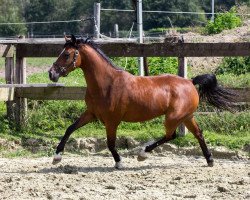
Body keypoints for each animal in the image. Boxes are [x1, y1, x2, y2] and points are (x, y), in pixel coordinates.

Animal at [48, 34, 236, 169]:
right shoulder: (91, 114)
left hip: (174, 117)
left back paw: (142, 154)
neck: (107, 83)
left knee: (171, 135)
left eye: (66, 54)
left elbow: (110, 143)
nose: (51, 74)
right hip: (187, 117)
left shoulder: (112, 120)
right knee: (198, 134)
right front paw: (57, 157)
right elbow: (70, 128)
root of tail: (190, 82)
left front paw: (119, 162)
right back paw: (209, 160)